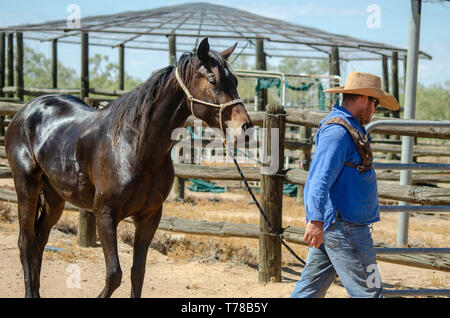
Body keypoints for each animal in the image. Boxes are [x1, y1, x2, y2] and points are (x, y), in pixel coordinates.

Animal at [4, 38, 253, 296]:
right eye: (213, 79)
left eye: (235, 81)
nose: (245, 128)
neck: (135, 148)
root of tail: (26, 111)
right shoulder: (105, 214)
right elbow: (114, 274)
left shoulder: (149, 217)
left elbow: (137, 273)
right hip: (26, 186)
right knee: (26, 242)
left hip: (55, 197)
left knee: (40, 240)